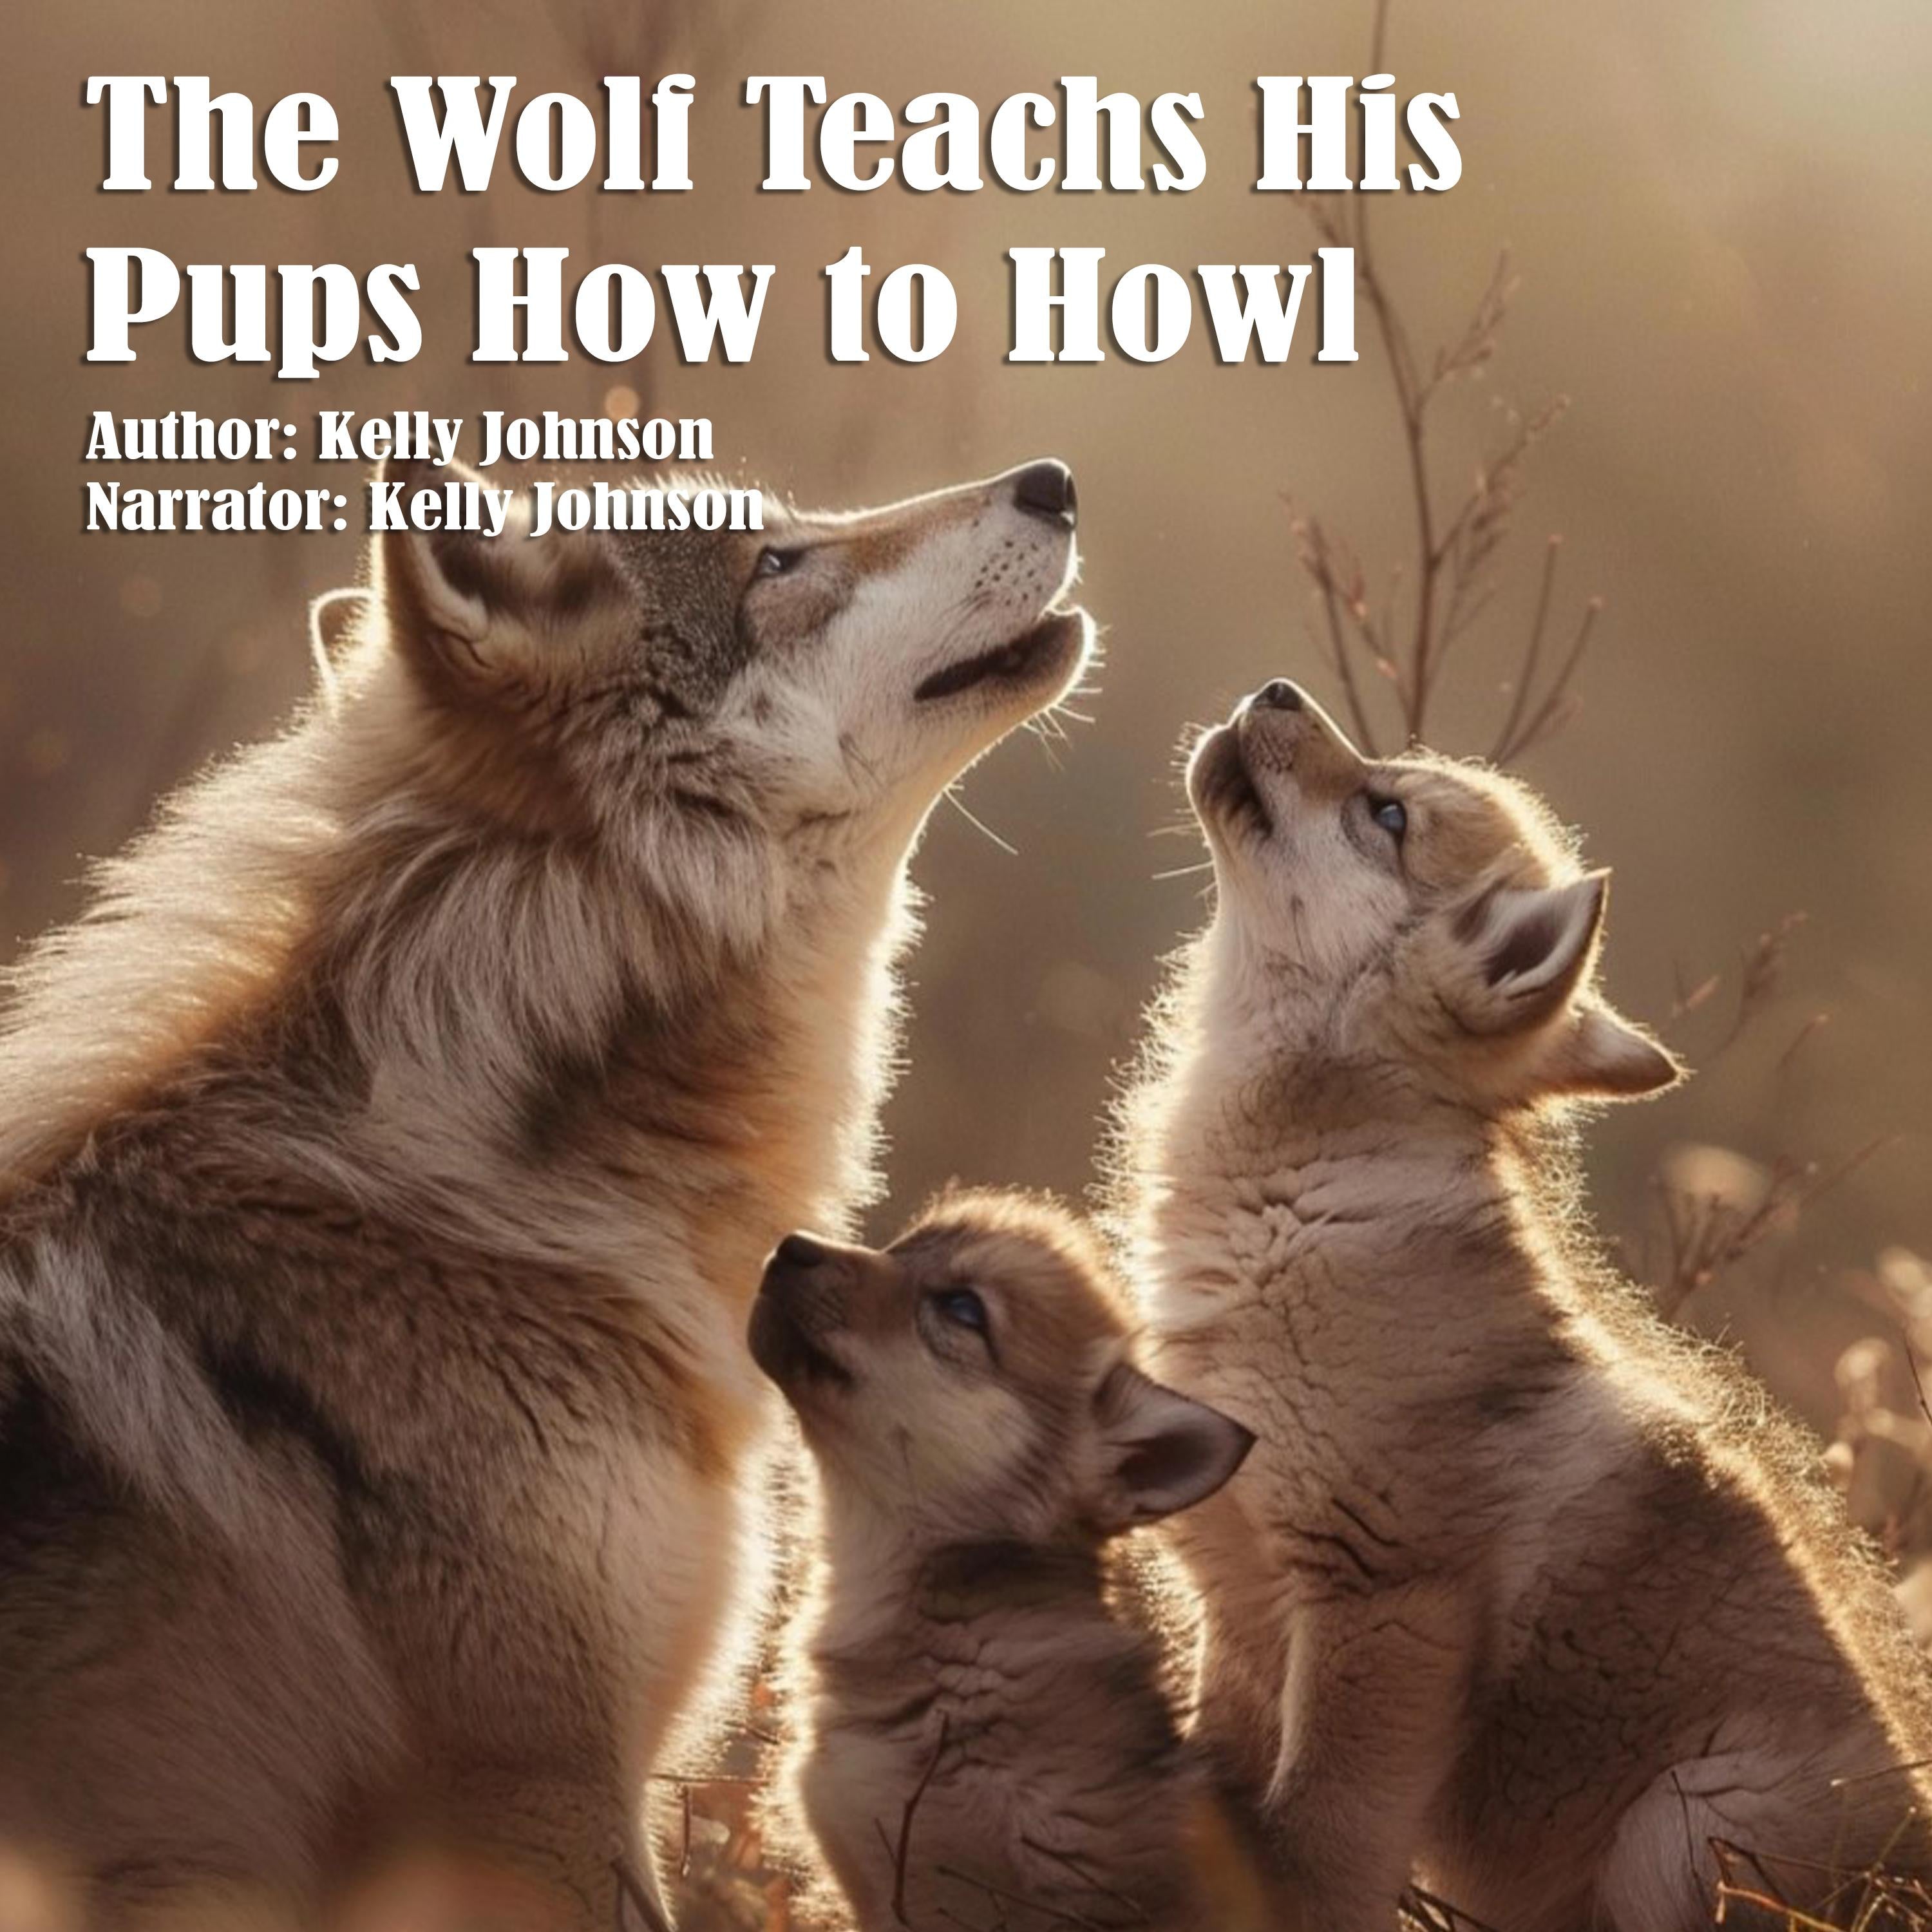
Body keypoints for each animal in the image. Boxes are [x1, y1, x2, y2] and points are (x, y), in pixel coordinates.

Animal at [1115, 678, 1932, 1931]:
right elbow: (1231, 1827)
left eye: (1387, 815)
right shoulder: (1238, 1613)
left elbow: (1316, 1847)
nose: (1279, 689)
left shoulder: (1385, 1601)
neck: (1292, 1211)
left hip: (1677, 1836)